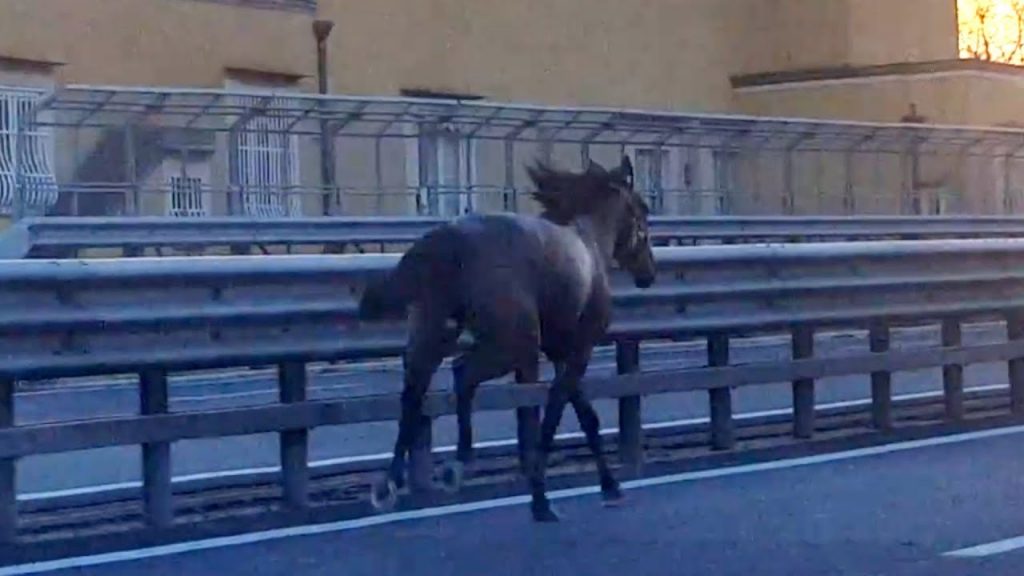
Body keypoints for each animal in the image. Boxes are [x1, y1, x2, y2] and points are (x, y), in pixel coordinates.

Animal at [360, 153, 655, 520]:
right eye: (642, 211)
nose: (649, 273)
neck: (592, 241)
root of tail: (443, 244)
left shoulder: (560, 352)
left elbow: (585, 416)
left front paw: (610, 485)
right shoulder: (576, 351)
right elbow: (553, 416)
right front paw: (541, 496)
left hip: (432, 333)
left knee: (414, 392)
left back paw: (392, 482)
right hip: (511, 344)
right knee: (462, 373)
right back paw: (460, 464)